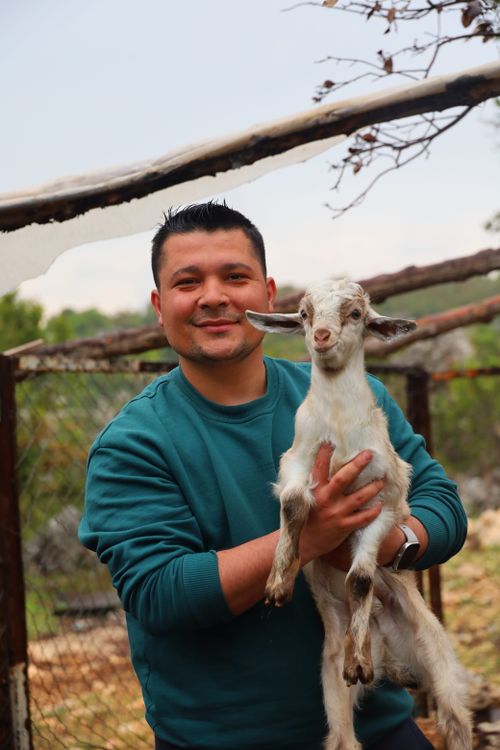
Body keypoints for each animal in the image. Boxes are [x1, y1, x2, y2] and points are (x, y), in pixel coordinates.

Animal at [246, 279, 471, 750]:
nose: (321, 337)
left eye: (354, 314)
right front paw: (278, 582)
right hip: (331, 677)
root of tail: (393, 661)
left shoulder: (384, 501)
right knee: (343, 738)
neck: (339, 426)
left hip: (438, 655)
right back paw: (359, 659)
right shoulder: (296, 461)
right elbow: (293, 504)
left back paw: (365, 658)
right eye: (305, 314)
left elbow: (361, 577)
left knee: (455, 721)